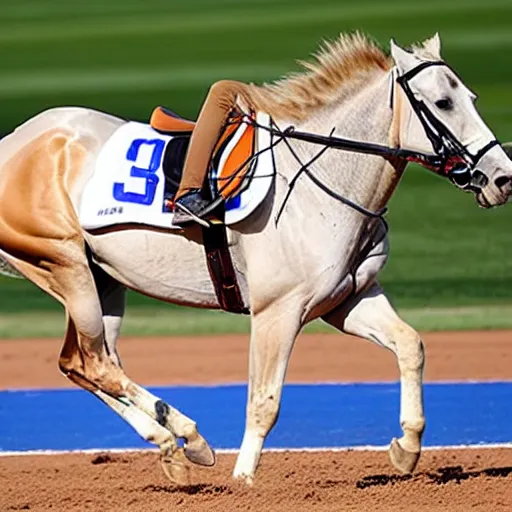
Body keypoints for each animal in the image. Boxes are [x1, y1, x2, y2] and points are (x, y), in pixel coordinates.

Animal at [1, 33, 512, 484]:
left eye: (470, 96)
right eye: (443, 104)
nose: (502, 177)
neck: (319, 178)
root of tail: (16, 140)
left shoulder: (348, 298)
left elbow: (411, 345)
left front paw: (407, 447)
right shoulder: (276, 311)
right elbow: (264, 401)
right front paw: (244, 476)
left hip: (102, 279)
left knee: (84, 363)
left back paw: (172, 445)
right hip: (65, 264)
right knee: (93, 363)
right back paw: (187, 435)